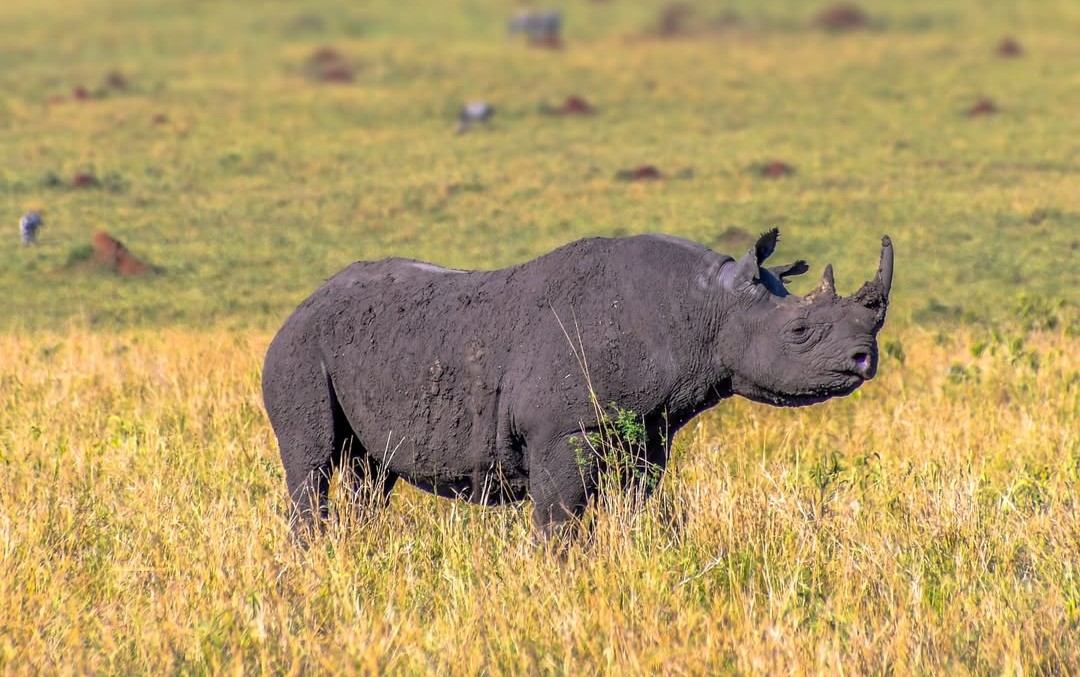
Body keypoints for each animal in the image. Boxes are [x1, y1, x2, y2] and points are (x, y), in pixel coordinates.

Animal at [262, 229, 893, 538]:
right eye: (801, 331)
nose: (865, 360)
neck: (706, 307)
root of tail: (301, 303)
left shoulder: (650, 425)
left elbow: (637, 501)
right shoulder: (563, 429)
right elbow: (560, 515)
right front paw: (556, 574)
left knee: (370, 473)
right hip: (298, 349)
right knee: (313, 463)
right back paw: (313, 555)